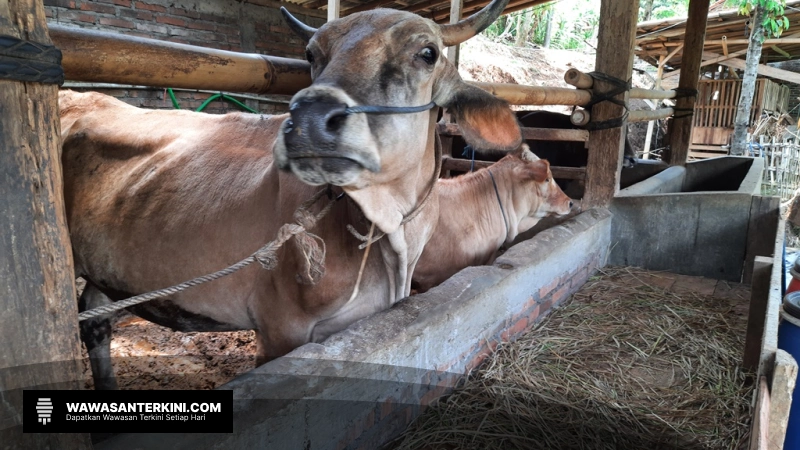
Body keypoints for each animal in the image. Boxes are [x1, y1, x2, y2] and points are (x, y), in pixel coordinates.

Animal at [65, 0, 520, 386]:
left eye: (427, 52)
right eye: (311, 54)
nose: (310, 119)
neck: (392, 241)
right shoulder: (280, 330)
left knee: (95, 319)